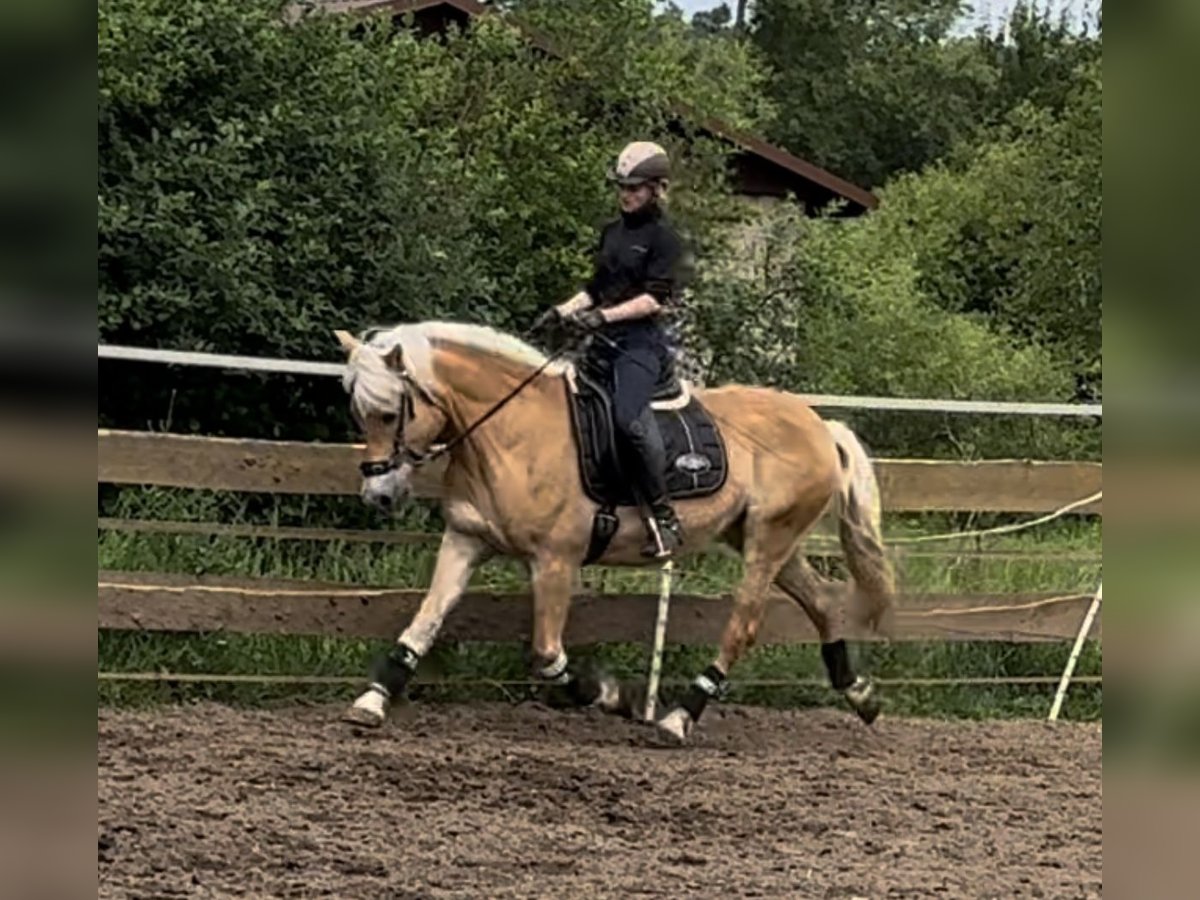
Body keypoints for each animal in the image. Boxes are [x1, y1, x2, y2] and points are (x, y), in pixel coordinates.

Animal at [333, 321, 897, 744]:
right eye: (357, 414)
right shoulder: (466, 540)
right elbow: (425, 620)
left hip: (769, 540)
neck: (510, 430)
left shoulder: (555, 561)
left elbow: (547, 654)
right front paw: (372, 700)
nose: (379, 495)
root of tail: (818, 424)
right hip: (766, 538)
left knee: (744, 626)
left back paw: (679, 717)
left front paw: (613, 696)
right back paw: (860, 694)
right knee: (822, 602)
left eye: (389, 413)